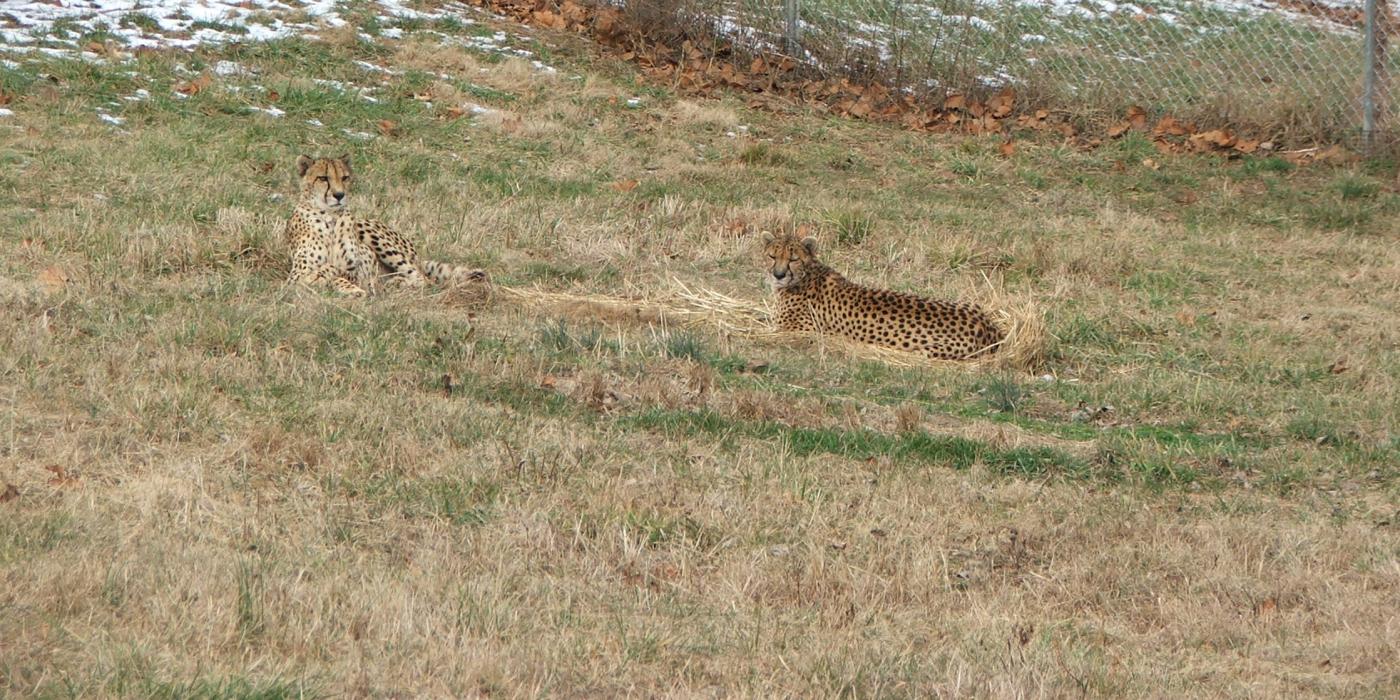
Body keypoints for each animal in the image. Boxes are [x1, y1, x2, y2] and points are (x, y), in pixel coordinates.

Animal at [281, 151, 484, 296]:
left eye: (345, 178)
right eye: (323, 178)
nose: (339, 195)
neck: (330, 217)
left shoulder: (356, 270)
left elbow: (339, 271)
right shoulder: (295, 276)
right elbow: (323, 274)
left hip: (372, 234)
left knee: (423, 280)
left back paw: (396, 284)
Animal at [761, 232, 1002, 361]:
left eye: (793, 259)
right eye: (772, 256)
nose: (778, 275)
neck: (806, 274)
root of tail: (990, 330)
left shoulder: (795, 329)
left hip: (926, 350)